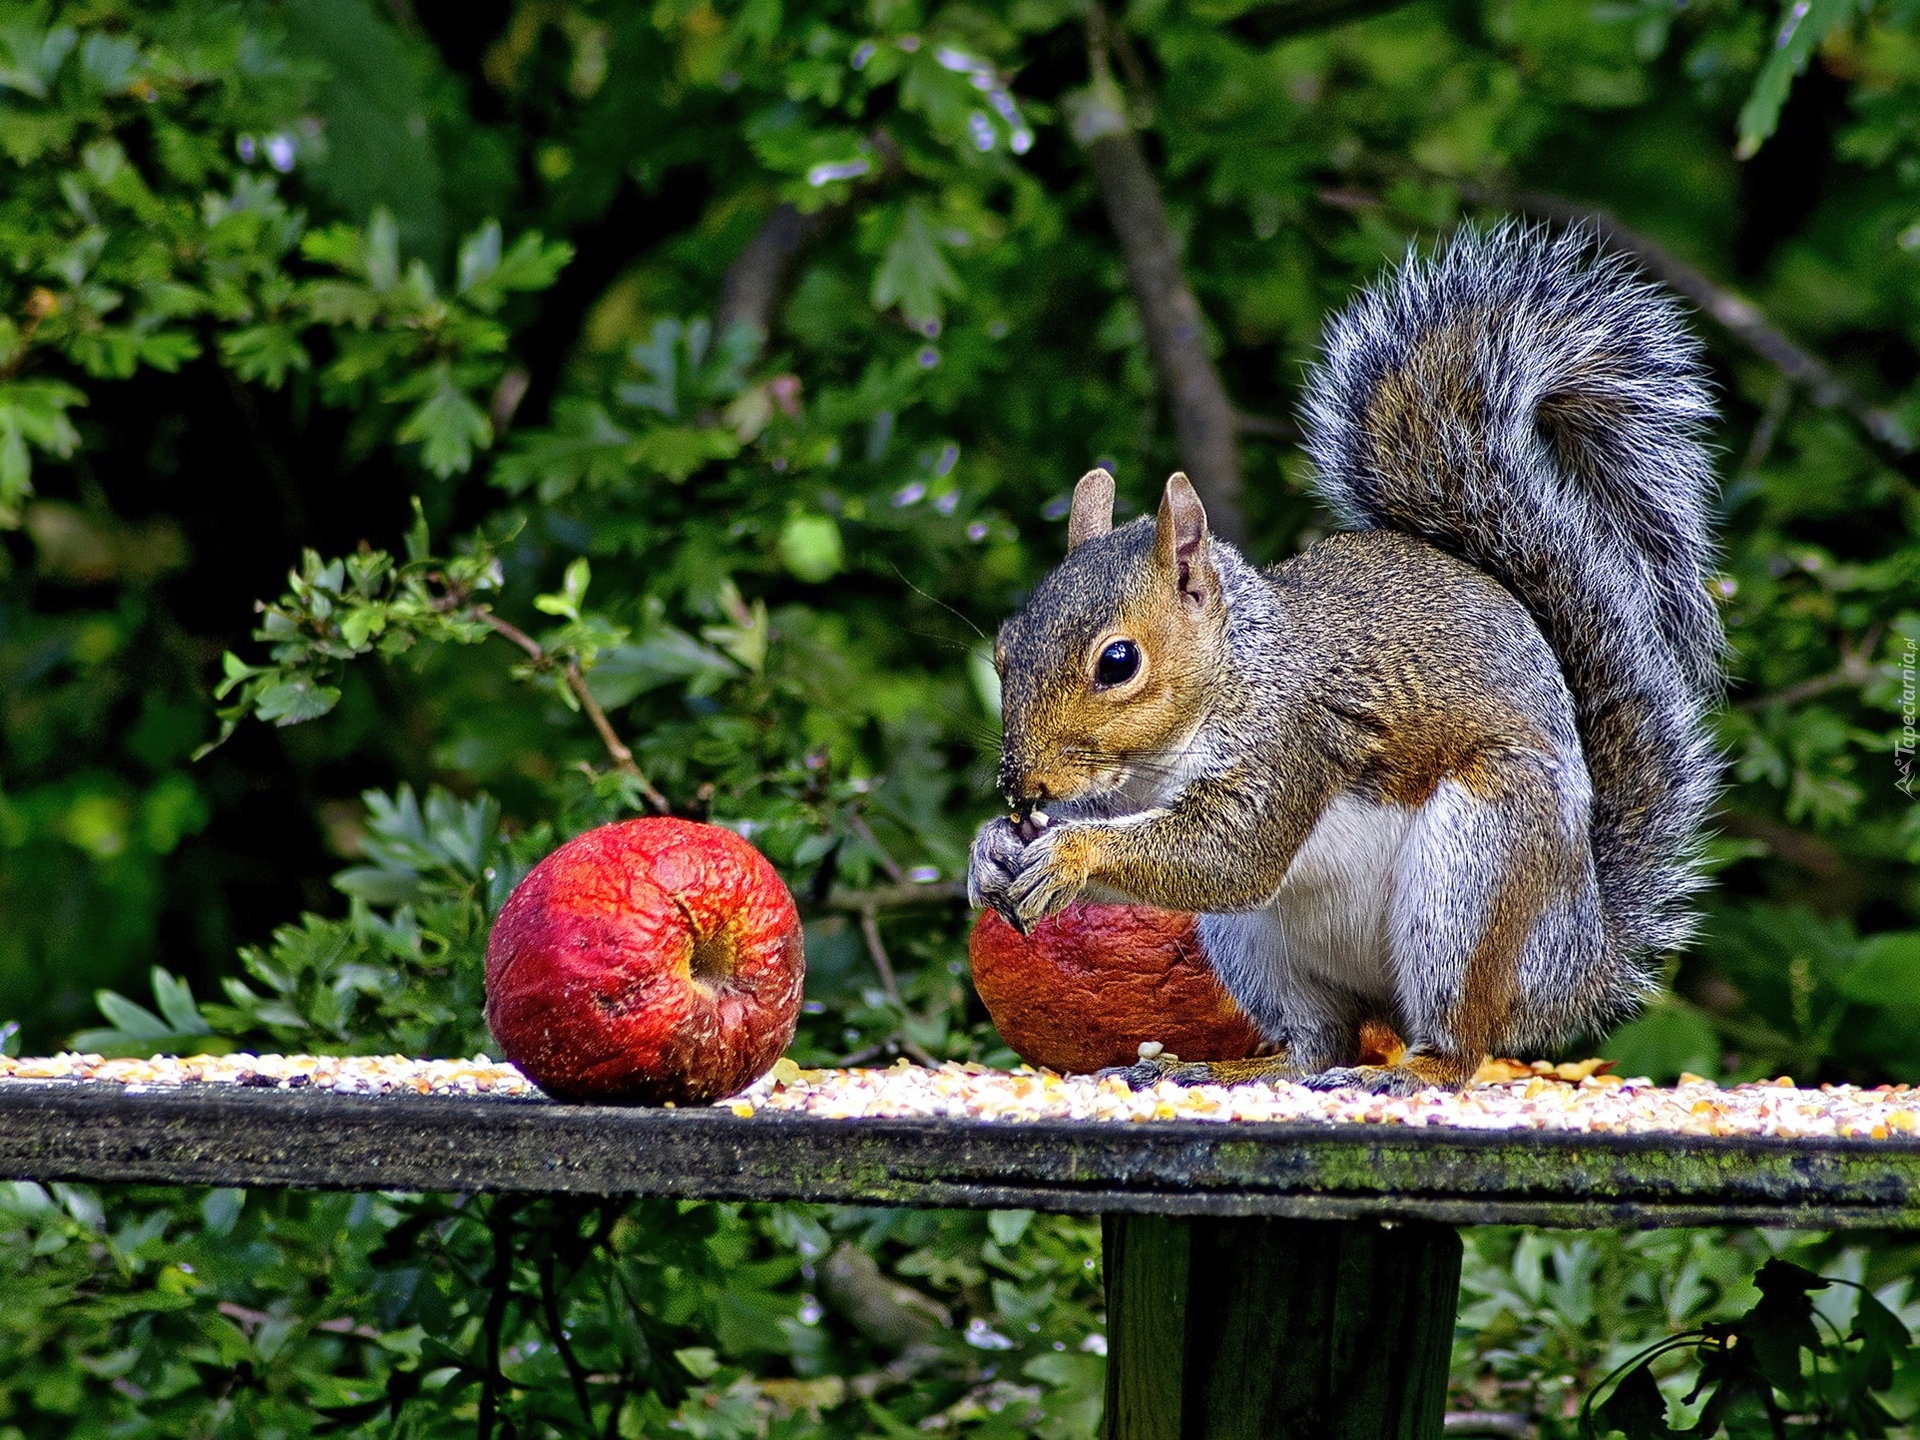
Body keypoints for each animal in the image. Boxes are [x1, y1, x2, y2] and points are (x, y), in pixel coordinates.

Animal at [967, 225, 1735, 1090]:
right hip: (1258, 945)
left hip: (1478, 873)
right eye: (1003, 648)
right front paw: (991, 849)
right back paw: (1222, 1071)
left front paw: (1067, 852)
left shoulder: (1295, 740)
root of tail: (1573, 961)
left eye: (1119, 662)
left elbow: (1232, 855)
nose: (1019, 786)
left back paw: (1407, 1072)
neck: (1234, 674)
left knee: (1457, 1037)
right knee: (1316, 1041)